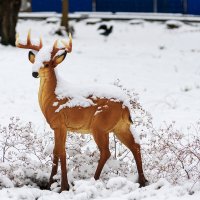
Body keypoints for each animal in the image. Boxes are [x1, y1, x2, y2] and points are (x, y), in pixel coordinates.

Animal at [15, 30, 147, 191]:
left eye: (46, 64)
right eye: (34, 62)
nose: (34, 73)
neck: (53, 98)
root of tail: (125, 105)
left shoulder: (60, 124)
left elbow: (61, 152)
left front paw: (63, 186)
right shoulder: (59, 127)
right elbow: (55, 152)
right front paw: (50, 183)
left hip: (100, 125)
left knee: (106, 152)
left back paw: (94, 179)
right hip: (120, 126)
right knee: (136, 145)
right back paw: (142, 181)